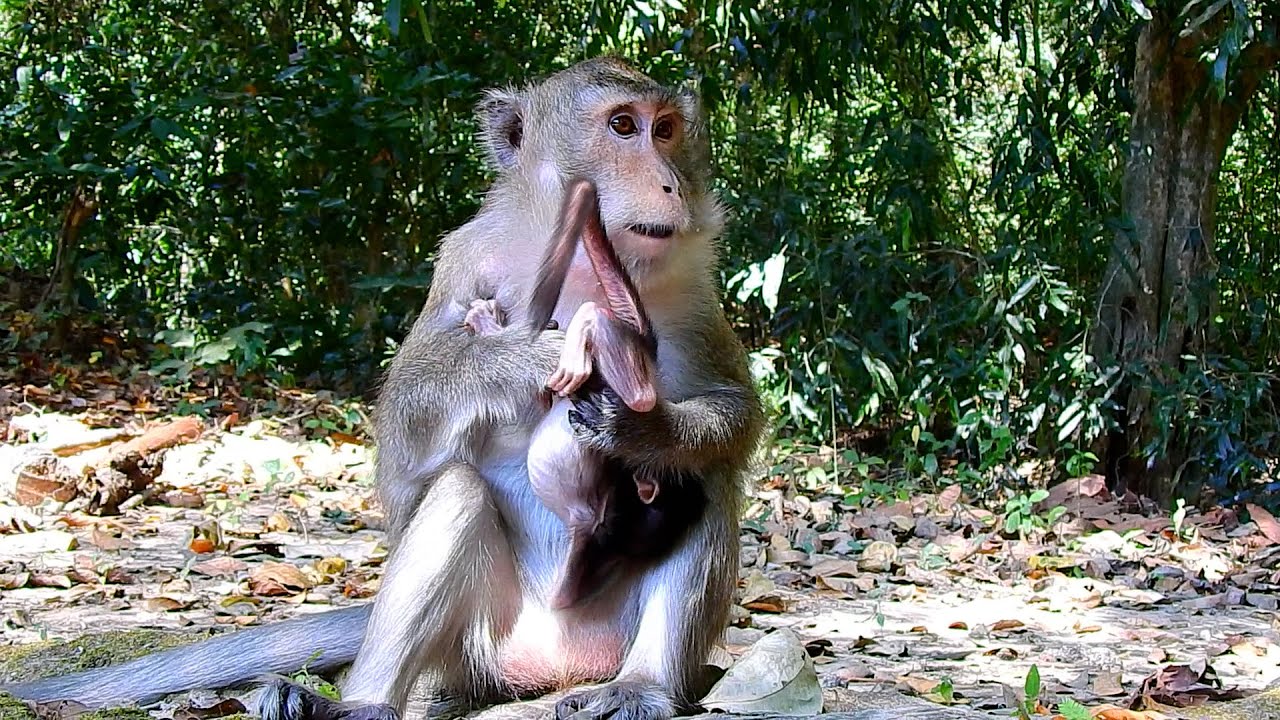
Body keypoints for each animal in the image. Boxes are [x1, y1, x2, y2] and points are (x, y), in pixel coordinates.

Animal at [1, 57, 764, 720]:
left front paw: (642, 427)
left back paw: (643, 686)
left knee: (704, 480)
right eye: (623, 126)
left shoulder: (690, 290)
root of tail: (555, 662)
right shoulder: (463, 260)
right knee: (456, 494)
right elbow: (404, 454)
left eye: (667, 129)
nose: (669, 184)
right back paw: (360, 702)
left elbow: (733, 412)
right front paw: (519, 356)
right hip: (472, 644)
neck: (584, 261)